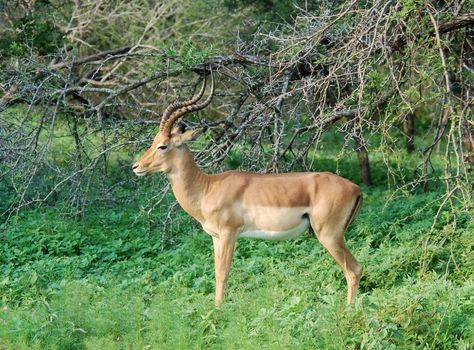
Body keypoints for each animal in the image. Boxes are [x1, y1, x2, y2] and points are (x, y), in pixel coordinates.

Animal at [133, 73, 362, 306]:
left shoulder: (229, 233)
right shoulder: (216, 237)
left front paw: (218, 310)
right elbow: (216, 272)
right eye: (153, 141)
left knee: (354, 270)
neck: (207, 188)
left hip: (329, 235)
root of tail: (355, 187)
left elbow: (223, 273)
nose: (136, 166)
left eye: (163, 145)